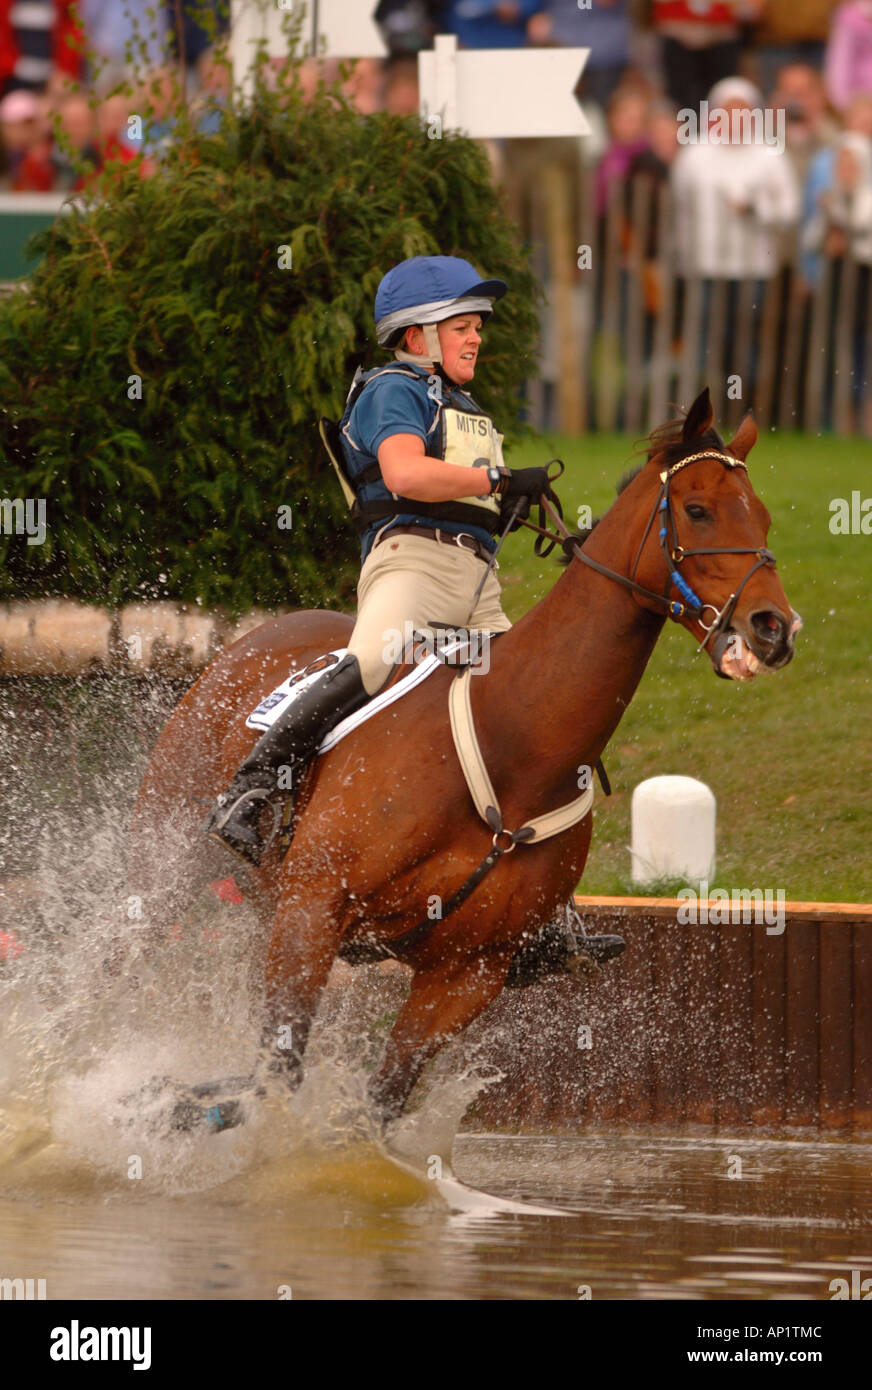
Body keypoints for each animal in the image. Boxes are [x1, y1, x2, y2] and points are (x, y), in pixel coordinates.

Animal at [129, 386, 801, 1123]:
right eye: (698, 509)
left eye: (763, 515)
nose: (774, 628)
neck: (521, 746)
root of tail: (256, 636)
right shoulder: (313, 908)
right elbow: (274, 1074)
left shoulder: (468, 973)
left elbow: (379, 1101)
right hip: (167, 870)